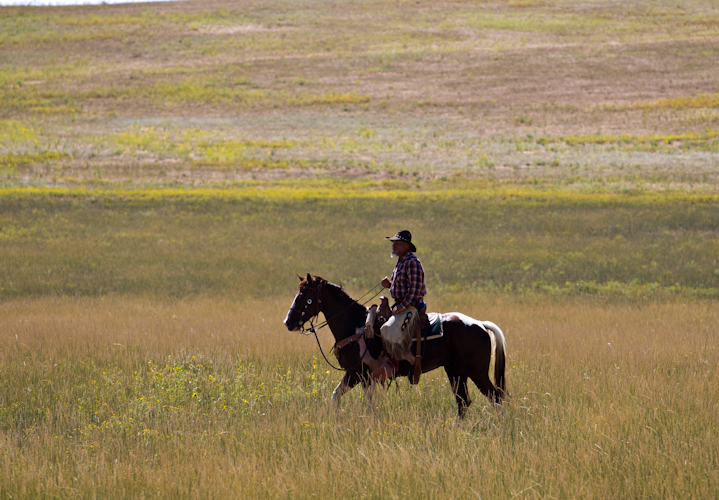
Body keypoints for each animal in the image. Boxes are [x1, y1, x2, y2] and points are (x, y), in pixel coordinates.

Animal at [284, 274, 510, 418]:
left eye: (306, 297)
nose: (288, 322)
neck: (355, 326)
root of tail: (480, 324)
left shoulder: (358, 373)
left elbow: (367, 404)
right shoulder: (358, 375)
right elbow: (336, 396)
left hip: (476, 371)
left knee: (495, 397)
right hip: (455, 371)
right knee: (463, 402)